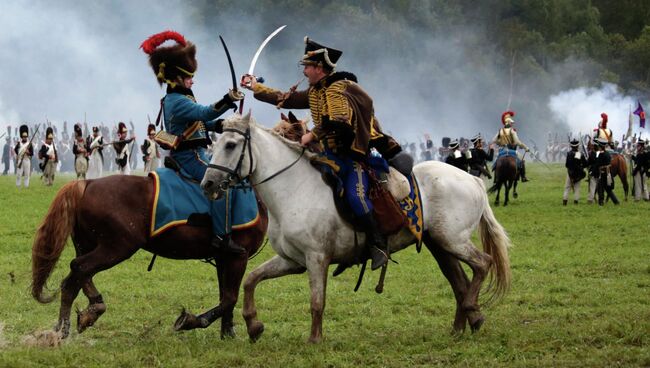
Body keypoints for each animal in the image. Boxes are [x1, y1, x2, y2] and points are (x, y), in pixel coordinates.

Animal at [29, 175, 268, 340]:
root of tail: (88, 182)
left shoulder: (223, 258)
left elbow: (225, 296)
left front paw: (227, 334)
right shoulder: (238, 257)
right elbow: (230, 298)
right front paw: (191, 321)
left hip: (89, 245)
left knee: (73, 280)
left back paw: (70, 324)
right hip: (116, 248)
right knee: (79, 268)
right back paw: (82, 317)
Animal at [200, 113, 508, 344]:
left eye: (230, 145)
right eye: (214, 145)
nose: (208, 184)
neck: (294, 187)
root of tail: (471, 179)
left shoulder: (316, 258)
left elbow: (317, 300)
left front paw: (314, 339)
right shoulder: (292, 260)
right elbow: (251, 280)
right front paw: (254, 325)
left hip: (453, 241)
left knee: (483, 263)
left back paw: (473, 311)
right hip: (440, 245)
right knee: (459, 281)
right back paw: (461, 326)